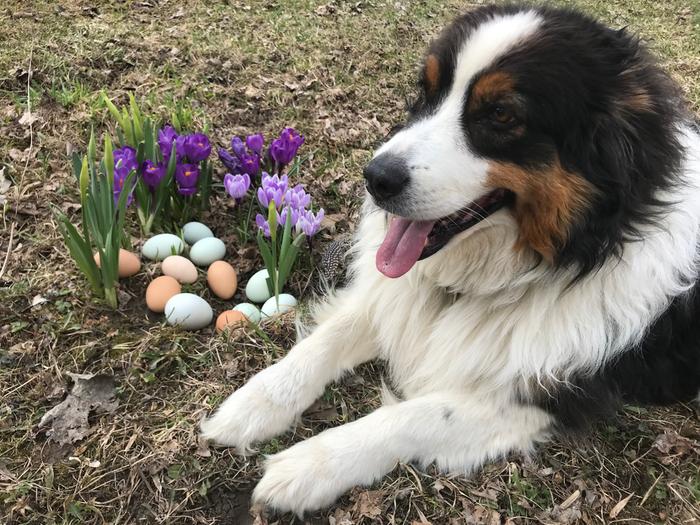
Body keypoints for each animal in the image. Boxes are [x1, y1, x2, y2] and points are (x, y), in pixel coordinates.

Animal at [201, 2, 700, 512]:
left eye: (501, 114)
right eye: (425, 92)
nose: (374, 178)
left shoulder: (541, 396)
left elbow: (413, 416)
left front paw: (307, 465)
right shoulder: (392, 300)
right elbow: (324, 341)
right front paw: (252, 405)